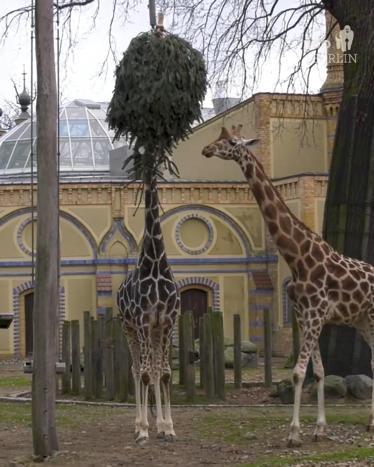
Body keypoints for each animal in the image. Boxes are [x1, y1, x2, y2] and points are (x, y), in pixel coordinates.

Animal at [202, 126, 374, 448]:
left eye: (230, 142)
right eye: (217, 139)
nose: (206, 149)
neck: (298, 257)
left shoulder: (316, 315)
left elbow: (298, 372)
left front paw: (294, 433)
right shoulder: (305, 316)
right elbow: (318, 372)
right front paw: (319, 429)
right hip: (362, 321)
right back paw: (370, 423)